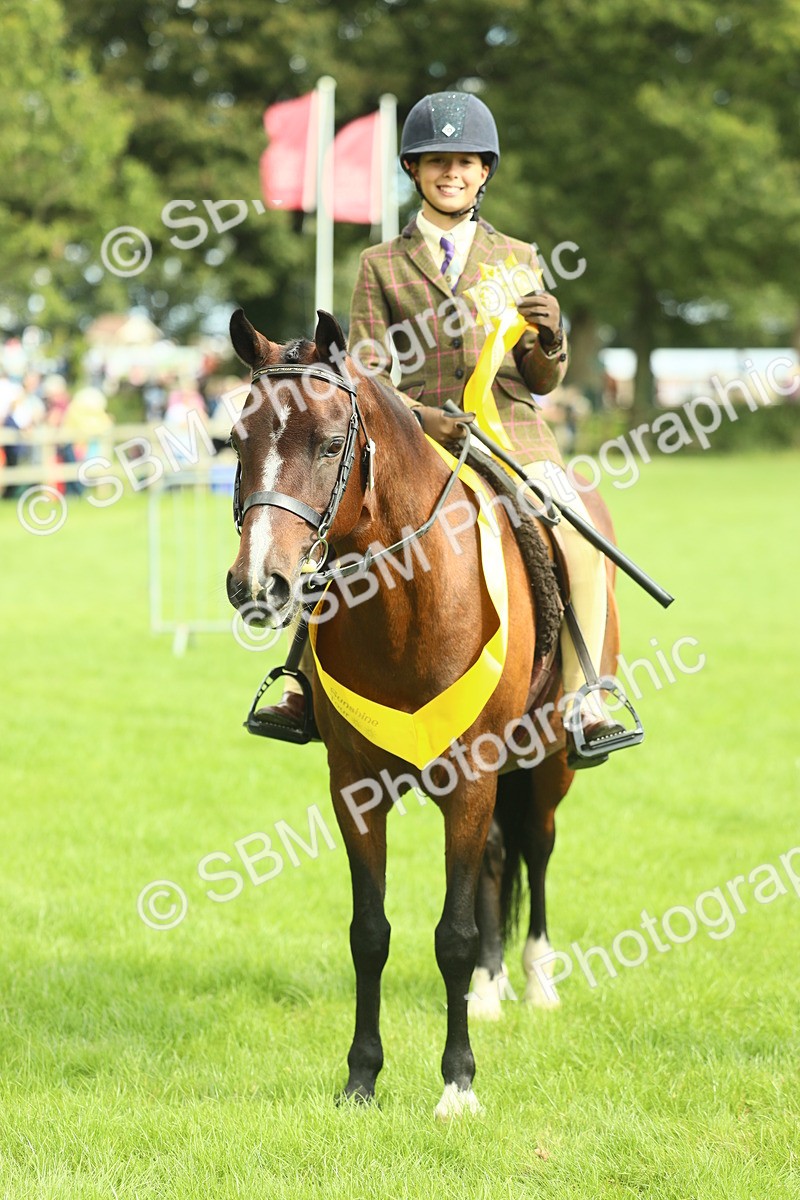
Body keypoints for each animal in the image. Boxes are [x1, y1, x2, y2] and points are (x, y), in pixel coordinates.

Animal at [225, 307, 622, 1118]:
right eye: (236, 441)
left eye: (330, 442)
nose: (259, 584)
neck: (406, 601)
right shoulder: (354, 788)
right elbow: (370, 934)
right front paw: (361, 1078)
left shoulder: (470, 781)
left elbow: (454, 934)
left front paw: (458, 1085)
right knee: (501, 858)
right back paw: (493, 990)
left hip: (547, 762)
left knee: (536, 846)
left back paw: (536, 980)